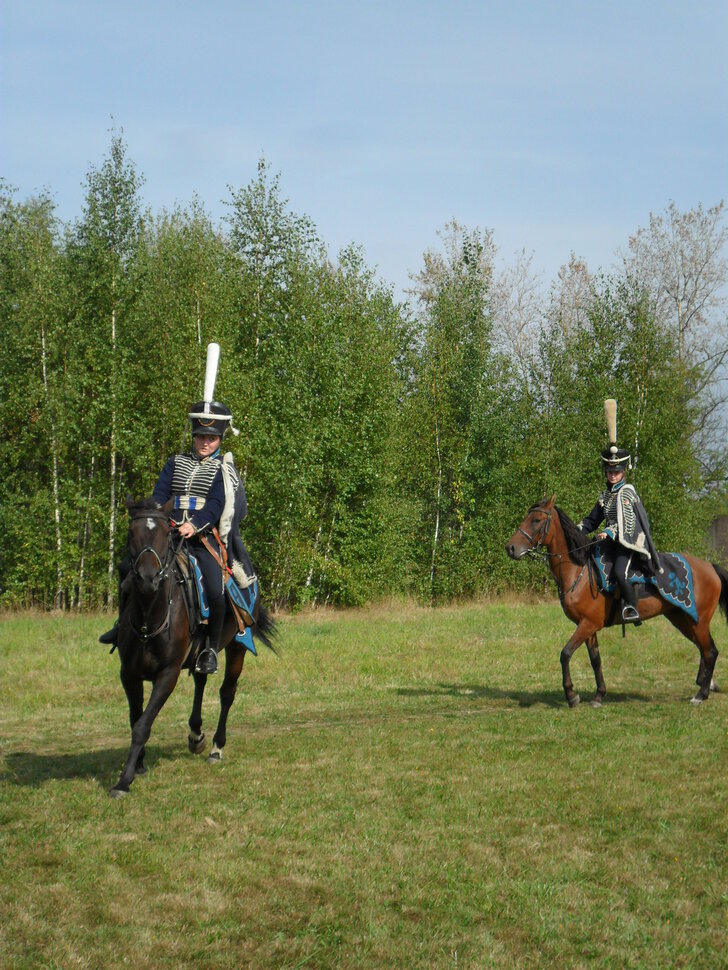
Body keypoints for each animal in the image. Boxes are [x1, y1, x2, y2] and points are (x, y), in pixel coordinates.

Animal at [109, 496, 278, 796]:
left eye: (166, 534)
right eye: (131, 533)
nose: (148, 578)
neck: (150, 616)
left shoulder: (168, 674)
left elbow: (142, 725)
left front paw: (124, 780)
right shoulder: (128, 673)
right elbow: (135, 719)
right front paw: (138, 765)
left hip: (237, 647)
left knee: (227, 693)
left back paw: (216, 747)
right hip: (201, 651)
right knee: (201, 680)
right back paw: (195, 735)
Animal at [506, 496, 728, 708]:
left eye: (536, 520)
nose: (511, 548)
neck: (580, 571)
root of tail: (710, 566)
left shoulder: (588, 624)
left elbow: (565, 653)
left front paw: (571, 696)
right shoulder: (588, 626)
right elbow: (595, 660)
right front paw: (598, 695)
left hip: (698, 621)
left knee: (710, 652)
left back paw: (701, 694)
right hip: (683, 619)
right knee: (704, 649)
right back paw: (706, 684)